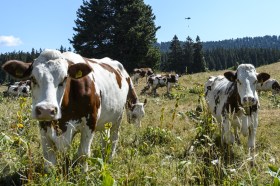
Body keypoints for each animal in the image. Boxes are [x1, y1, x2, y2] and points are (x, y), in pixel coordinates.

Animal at [1, 49, 147, 171]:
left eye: (65, 78)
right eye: (32, 78)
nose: (47, 110)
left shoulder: (90, 122)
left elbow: (83, 154)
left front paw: (83, 174)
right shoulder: (43, 124)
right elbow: (49, 158)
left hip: (118, 118)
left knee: (114, 138)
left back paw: (109, 158)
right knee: (104, 138)